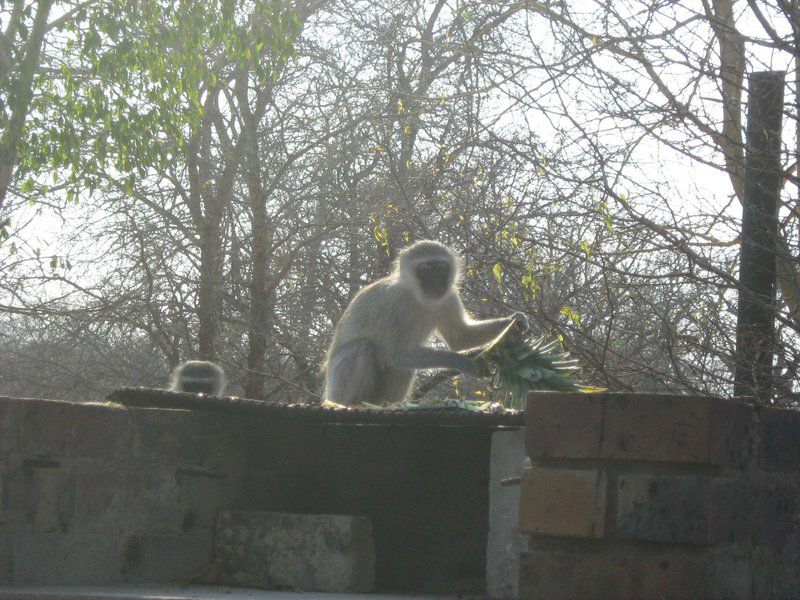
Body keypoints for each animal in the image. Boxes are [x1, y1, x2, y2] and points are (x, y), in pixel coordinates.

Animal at [322, 241, 528, 406]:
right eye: (426, 271)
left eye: (442, 269)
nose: (437, 284)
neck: (420, 298)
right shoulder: (396, 304)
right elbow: (397, 354)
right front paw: (462, 362)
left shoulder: (449, 296)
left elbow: (460, 338)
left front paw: (514, 323)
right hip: (336, 387)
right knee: (362, 348)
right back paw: (348, 404)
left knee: (400, 367)